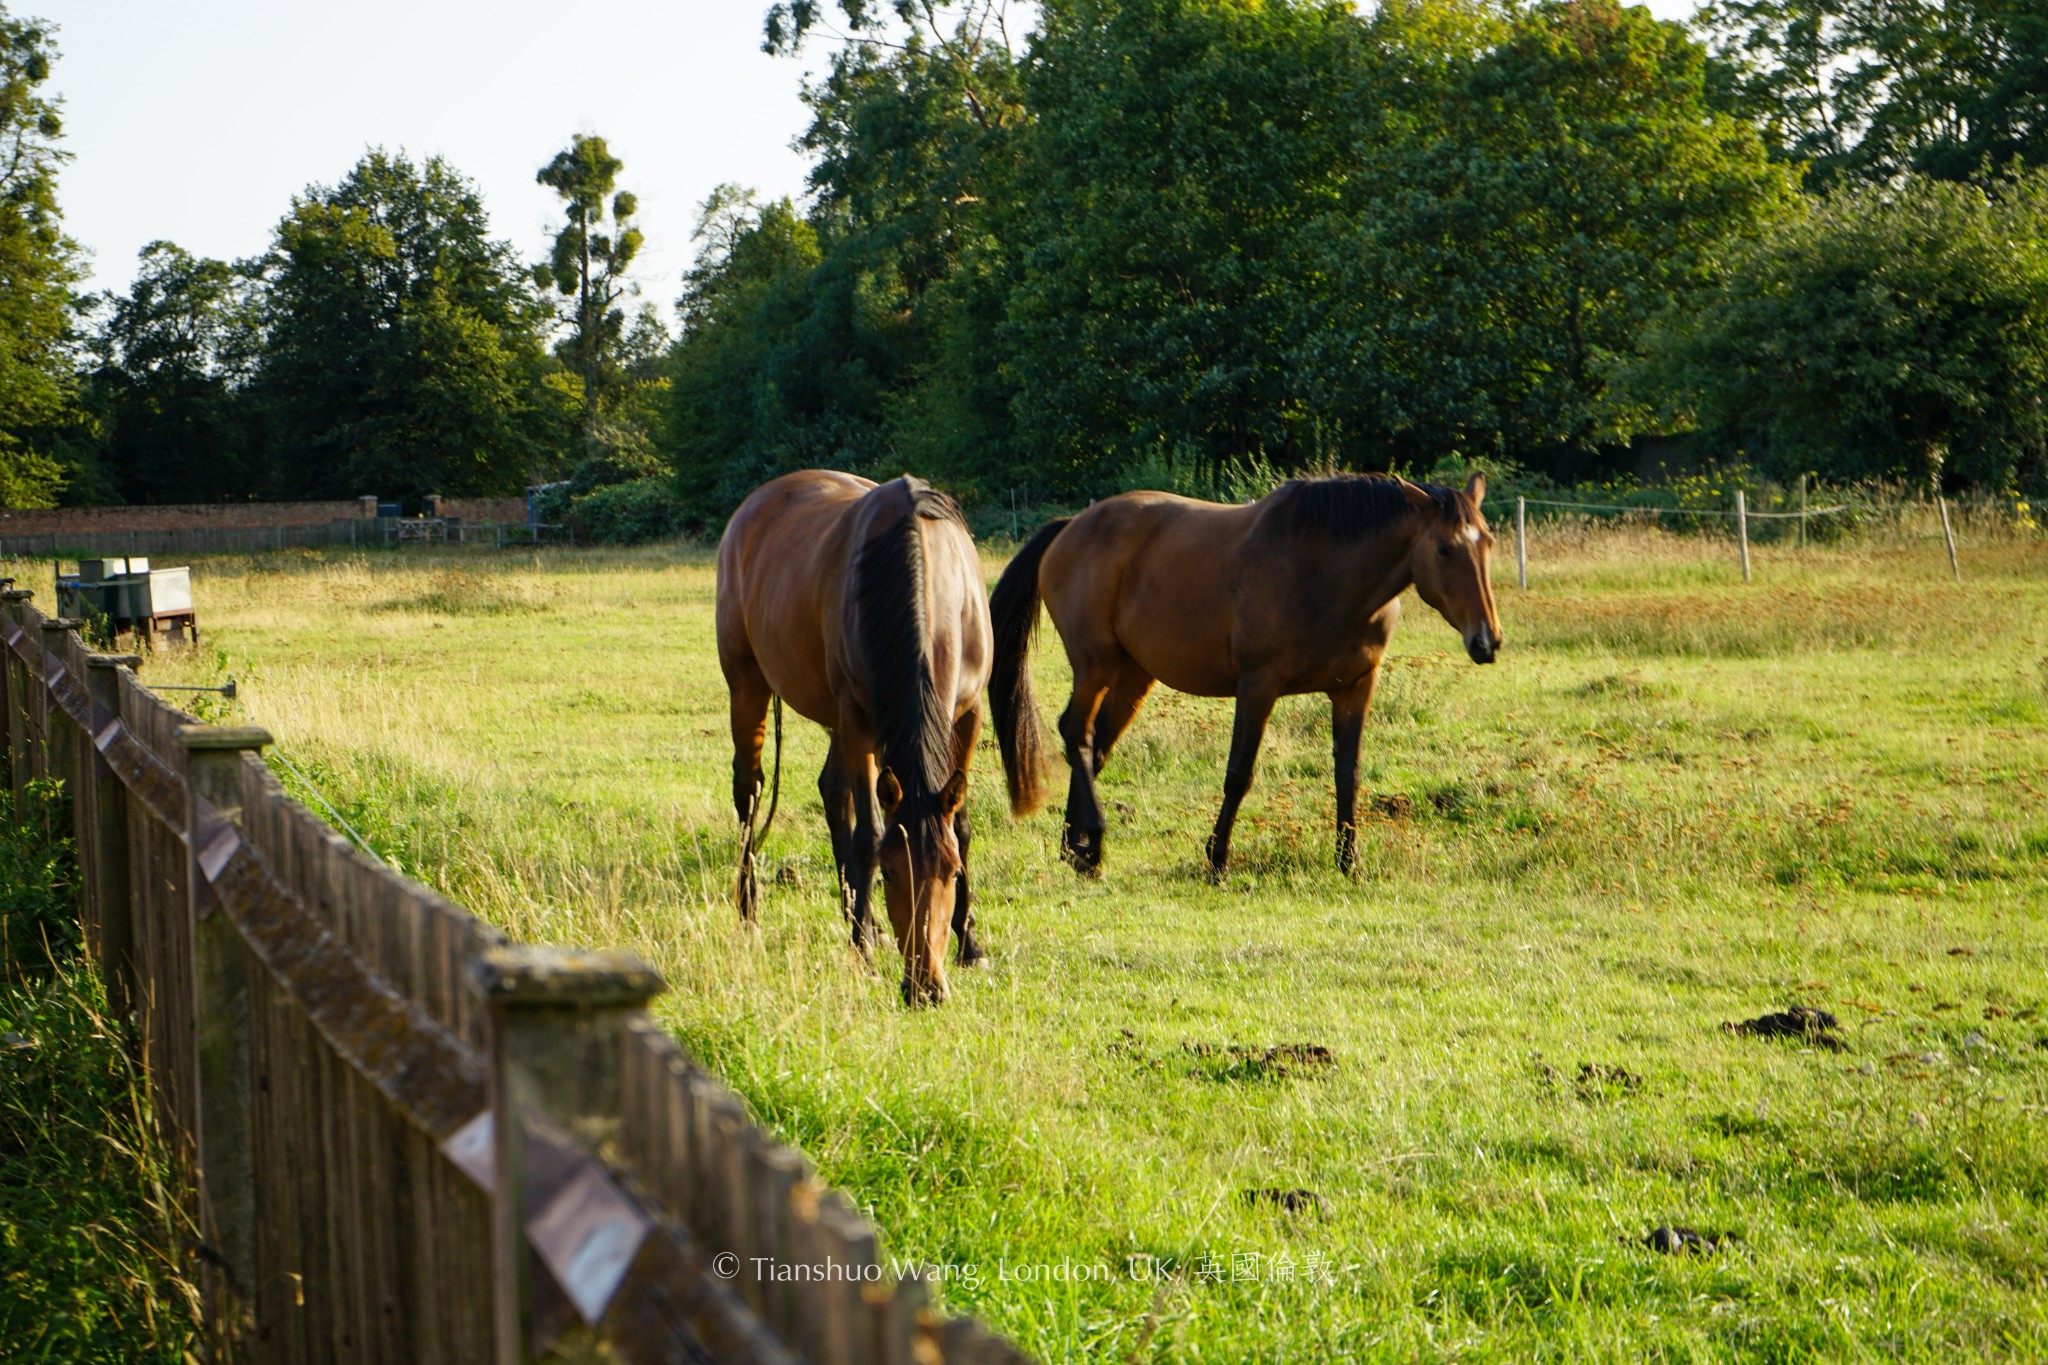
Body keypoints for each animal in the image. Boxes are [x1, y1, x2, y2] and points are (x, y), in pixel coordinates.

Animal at [712, 470, 991, 1002]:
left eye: (951, 872)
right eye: (892, 873)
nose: (925, 987)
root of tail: (755, 504)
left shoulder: (967, 713)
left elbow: (961, 827)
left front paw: (970, 943)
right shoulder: (858, 720)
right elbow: (870, 835)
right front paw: (861, 950)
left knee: (832, 792)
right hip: (748, 684)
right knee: (749, 790)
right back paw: (750, 912)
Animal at [991, 470, 1507, 875]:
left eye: (1489, 542)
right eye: (1444, 549)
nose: (1488, 640)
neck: (1326, 572)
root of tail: (1070, 527)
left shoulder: (1356, 688)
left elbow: (1348, 772)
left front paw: (1349, 861)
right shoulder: (1258, 686)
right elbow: (1239, 773)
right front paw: (1216, 858)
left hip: (1133, 674)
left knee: (1095, 745)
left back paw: (1073, 847)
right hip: (1094, 666)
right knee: (1075, 732)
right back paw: (1093, 844)